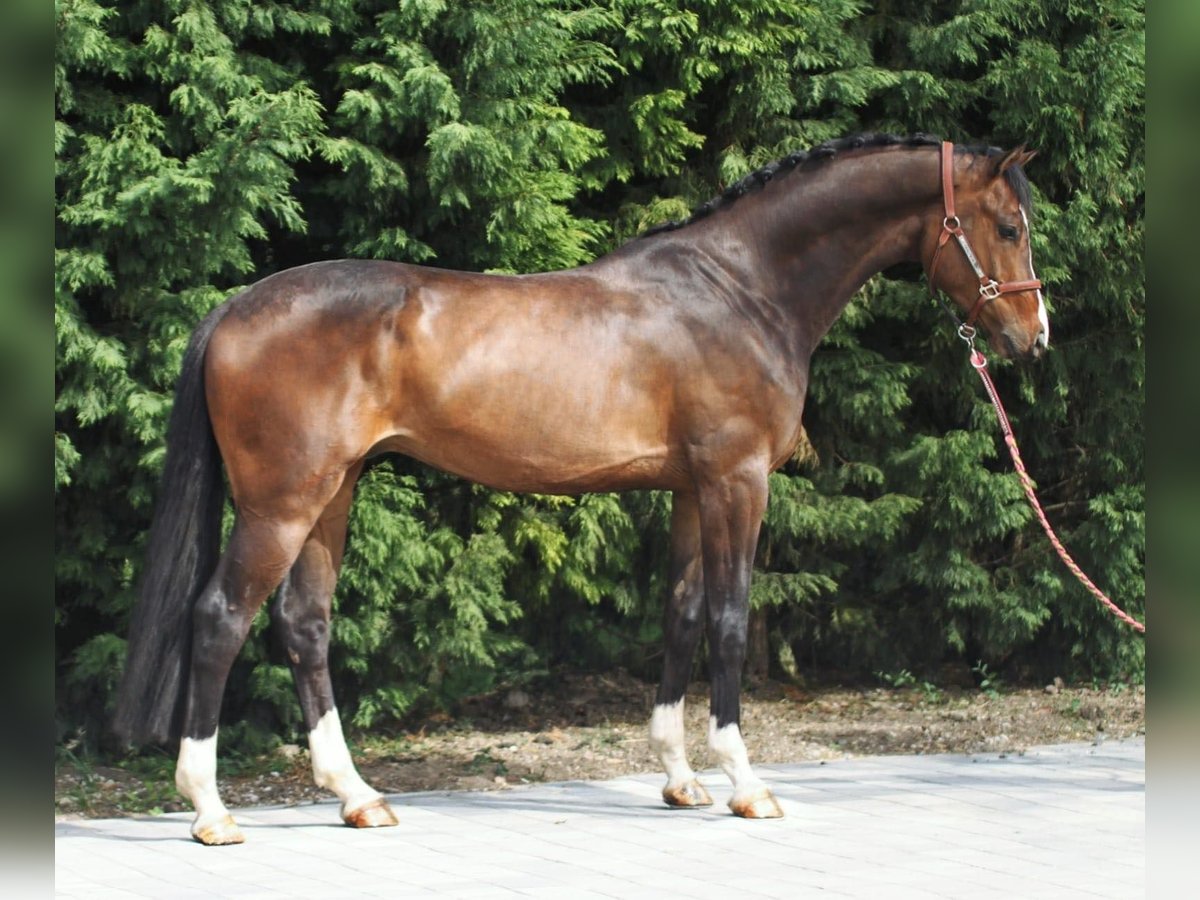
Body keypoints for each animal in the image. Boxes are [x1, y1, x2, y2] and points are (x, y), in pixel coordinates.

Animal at [114, 132, 1051, 844]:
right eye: (1008, 225)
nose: (1033, 337)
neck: (741, 289)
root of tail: (234, 309)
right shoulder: (736, 481)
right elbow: (730, 619)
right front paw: (746, 783)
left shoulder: (690, 489)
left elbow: (681, 615)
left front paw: (679, 779)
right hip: (282, 503)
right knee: (220, 619)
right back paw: (211, 810)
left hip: (332, 493)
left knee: (304, 624)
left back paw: (358, 797)